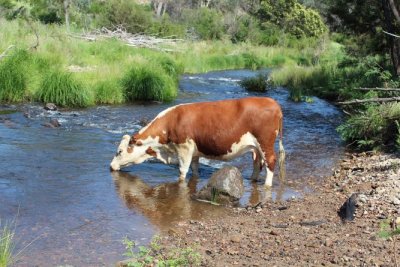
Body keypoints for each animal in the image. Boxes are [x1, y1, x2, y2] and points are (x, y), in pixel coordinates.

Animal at [109, 97, 284, 187]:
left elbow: (182, 171)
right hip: (256, 147)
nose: (110, 166)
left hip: (265, 142)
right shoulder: (194, 152)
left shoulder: (184, 148)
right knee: (258, 163)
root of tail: (273, 102)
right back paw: (252, 180)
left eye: (119, 151)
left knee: (270, 162)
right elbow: (194, 169)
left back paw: (267, 185)